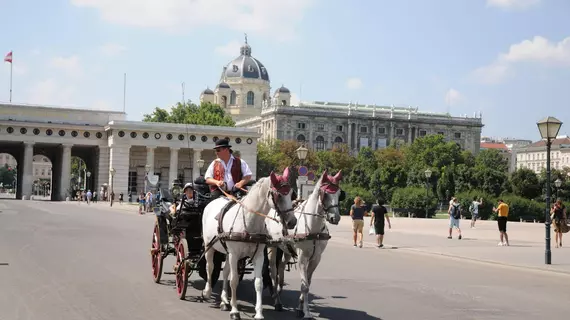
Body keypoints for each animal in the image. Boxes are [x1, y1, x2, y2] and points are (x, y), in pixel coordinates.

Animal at [201, 169, 298, 318]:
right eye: (279, 195)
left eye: (292, 193)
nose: (292, 222)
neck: (248, 220)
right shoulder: (234, 254)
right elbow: (234, 280)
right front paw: (235, 310)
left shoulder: (258, 256)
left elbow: (258, 282)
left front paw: (258, 313)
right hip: (209, 246)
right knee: (210, 267)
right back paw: (207, 292)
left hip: (228, 252)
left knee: (225, 271)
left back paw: (224, 300)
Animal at [266, 169, 342, 318]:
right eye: (325, 194)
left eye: (339, 193)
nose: (335, 218)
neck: (314, 228)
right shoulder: (302, 258)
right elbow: (304, 285)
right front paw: (306, 312)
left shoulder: (316, 258)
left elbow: (308, 282)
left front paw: (300, 307)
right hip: (272, 246)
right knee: (273, 271)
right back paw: (277, 301)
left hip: (287, 249)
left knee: (281, 267)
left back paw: (279, 290)